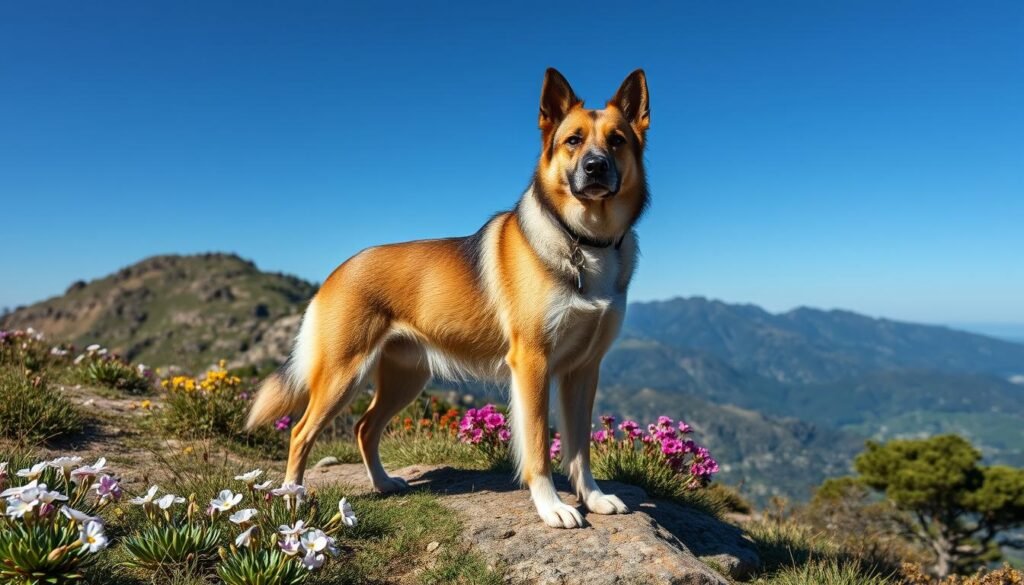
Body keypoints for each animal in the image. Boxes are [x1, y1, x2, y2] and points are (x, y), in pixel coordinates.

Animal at [247, 68, 647, 532]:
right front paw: (552, 506)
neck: (584, 240)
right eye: (573, 140)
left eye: (617, 140)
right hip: (342, 374)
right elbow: (537, 447)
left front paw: (594, 498)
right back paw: (294, 501)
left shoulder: (583, 370)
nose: (595, 166)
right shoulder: (533, 363)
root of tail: (338, 270)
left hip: (405, 377)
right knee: (300, 433)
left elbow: (580, 448)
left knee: (364, 427)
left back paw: (383, 484)